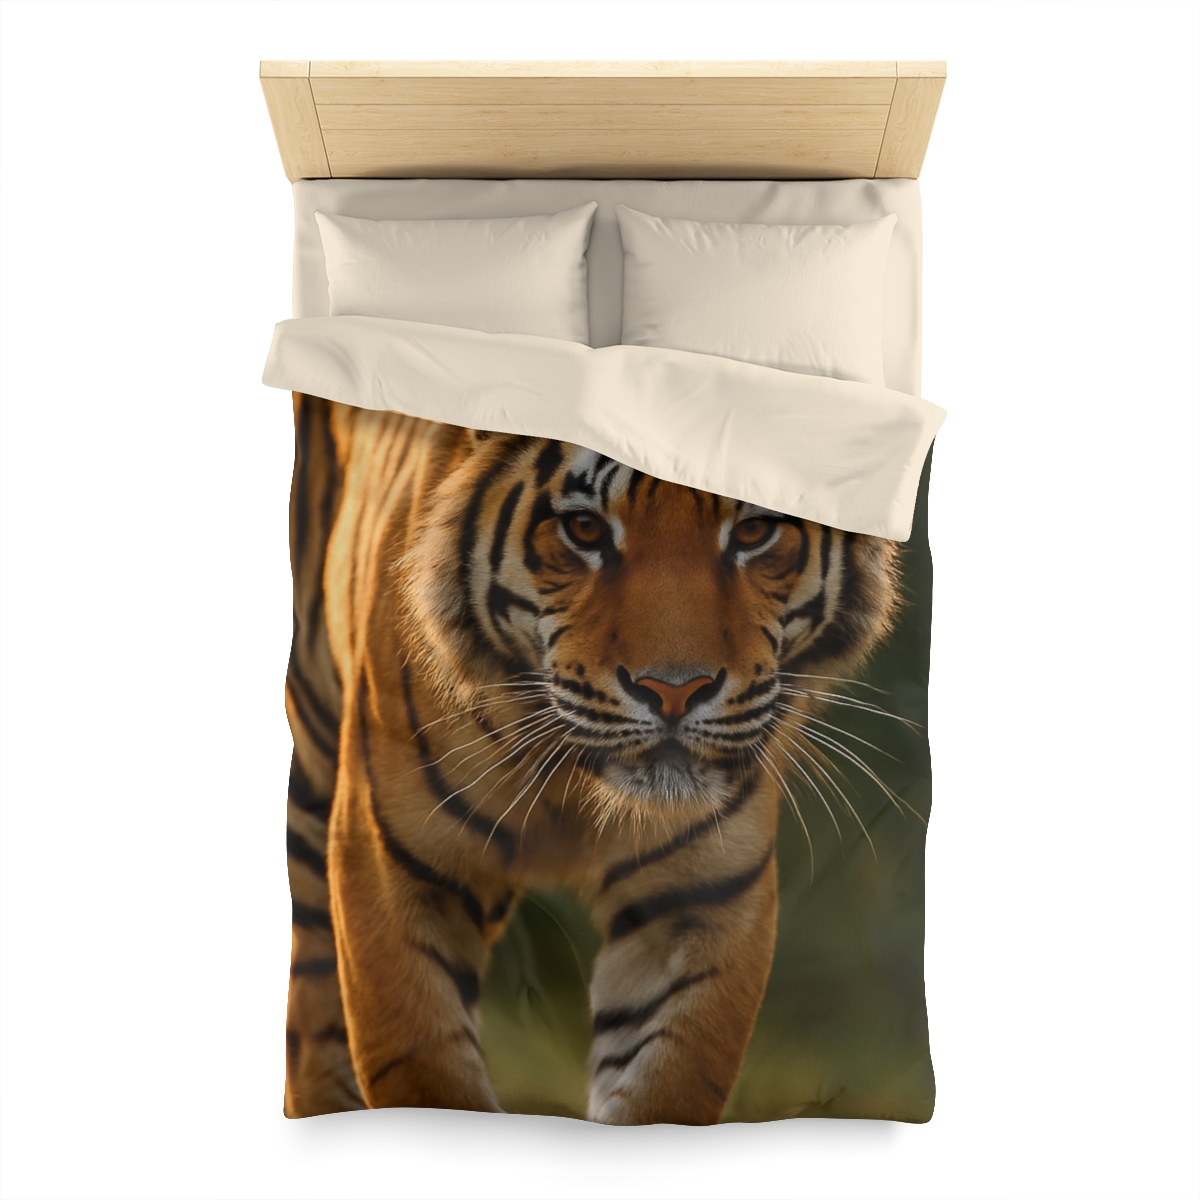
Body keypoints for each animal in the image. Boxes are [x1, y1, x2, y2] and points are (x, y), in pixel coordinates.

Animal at [283, 392, 901, 1124]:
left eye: (753, 533)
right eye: (583, 529)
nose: (674, 691)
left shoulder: (698, 897)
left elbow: (667, 1085)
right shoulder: (394, 870)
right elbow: (424, 1070)